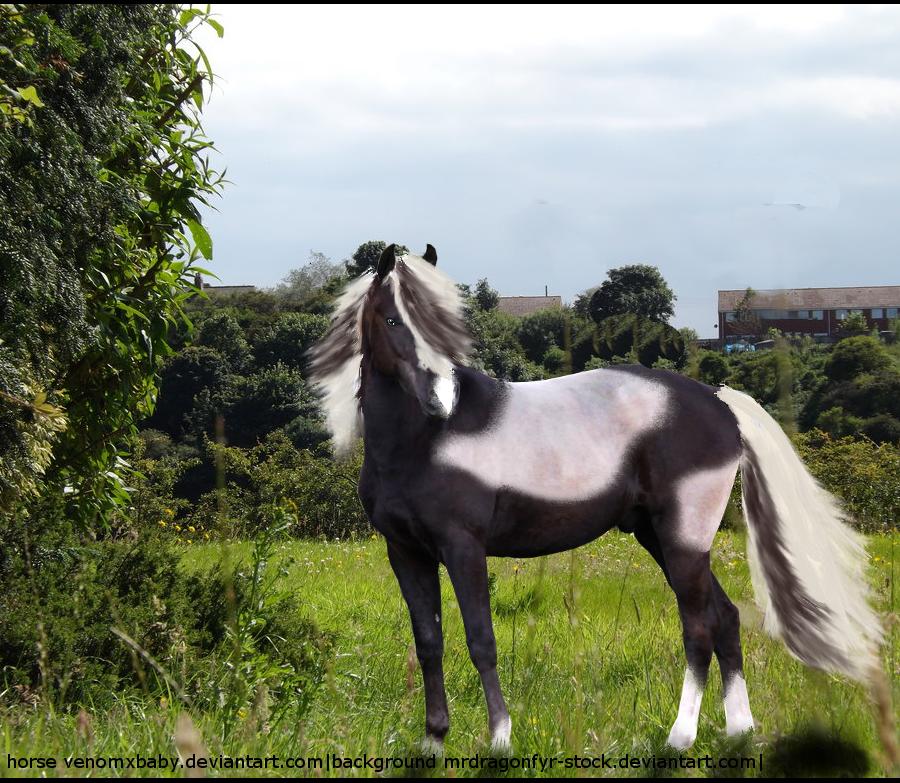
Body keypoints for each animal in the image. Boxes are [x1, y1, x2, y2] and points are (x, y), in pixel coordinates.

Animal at [306, 243, 884, 752]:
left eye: (444, 322)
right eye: (392, 320)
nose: (440, 400)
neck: (421, 442)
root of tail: (718, 400)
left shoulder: (463, 548)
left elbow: (480, 639)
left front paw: (499, 739)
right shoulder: (406, 553)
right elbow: (429, 643)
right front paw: (433, 741)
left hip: (683, 541)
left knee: (699, 627)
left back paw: (680, 738)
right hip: (658, 537)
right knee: (725, 617)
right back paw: (738, 730)